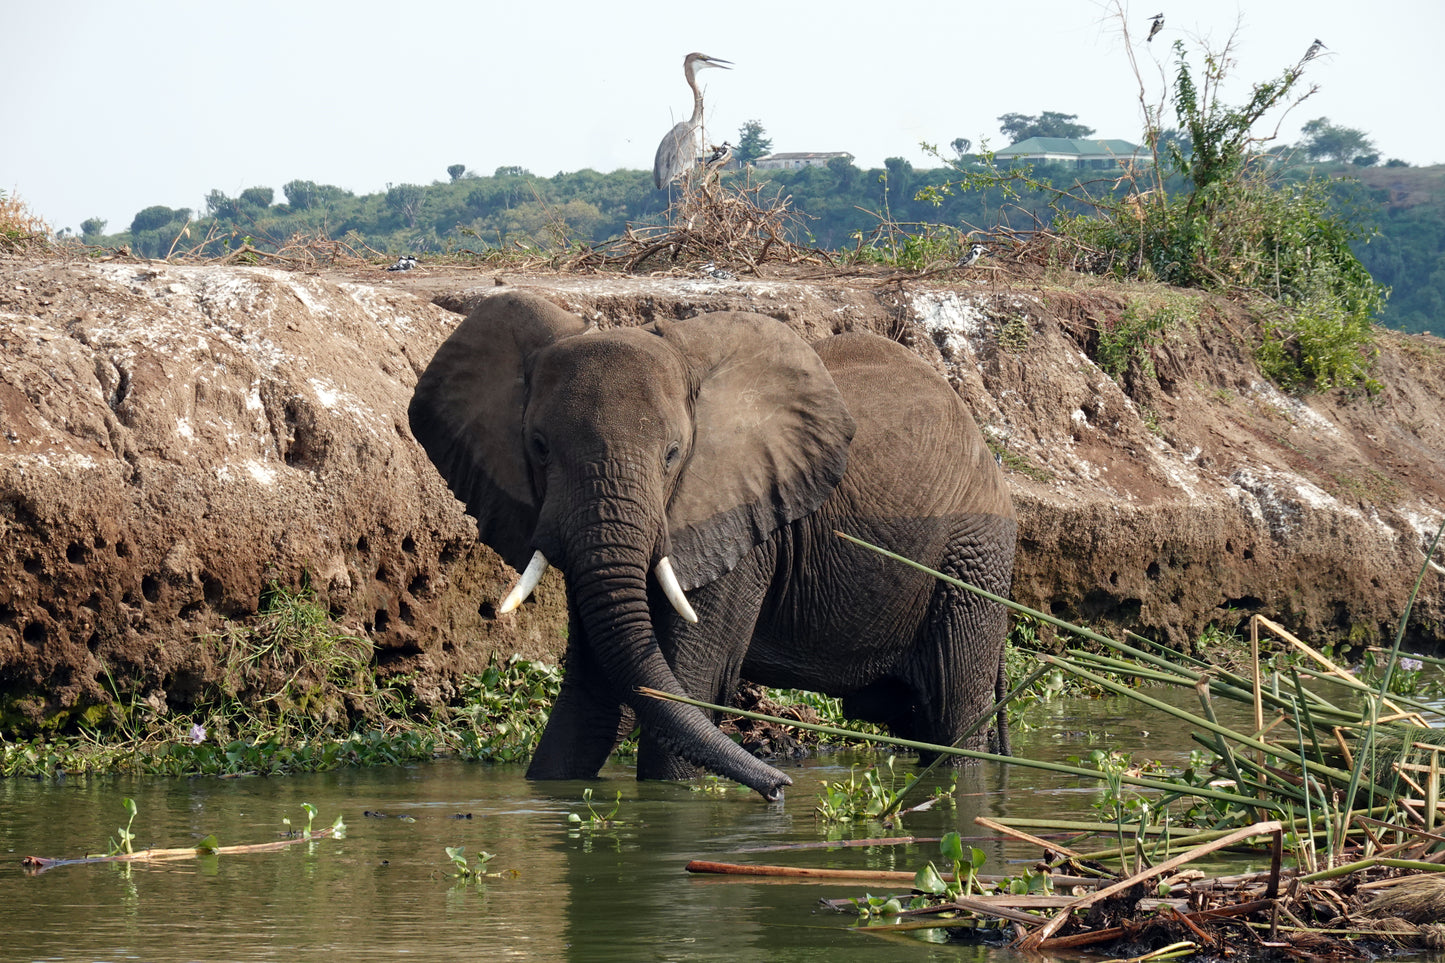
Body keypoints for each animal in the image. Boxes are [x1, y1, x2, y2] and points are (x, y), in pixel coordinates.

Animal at [407, 290, 1017, 792]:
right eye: (537, 446)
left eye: (673, 454)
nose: (780, 787)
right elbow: (590, 697)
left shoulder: (740, 527)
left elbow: (687, 688)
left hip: (973, 560)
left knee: (954, 713)